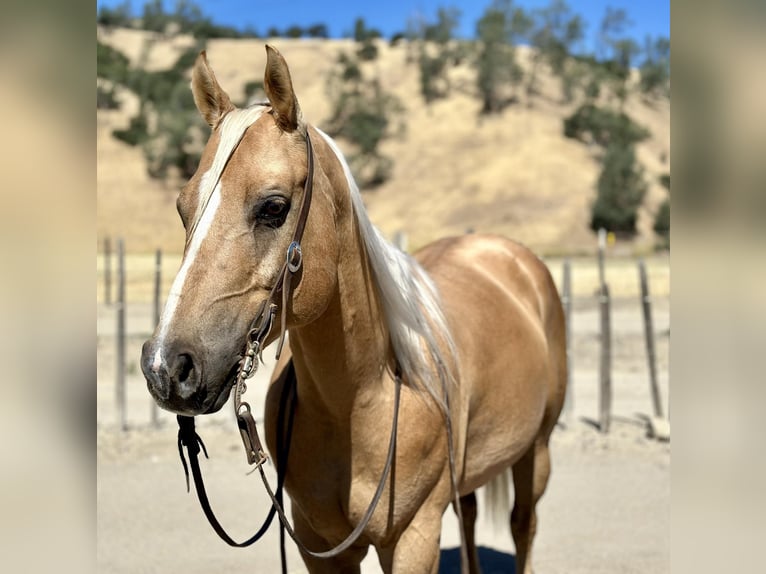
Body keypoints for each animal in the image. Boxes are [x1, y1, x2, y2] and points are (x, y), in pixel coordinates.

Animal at [140, 45, 567, 574]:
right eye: (183, 209)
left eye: (273, 207)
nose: (165, 367)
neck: (364, 397)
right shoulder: (317, 546)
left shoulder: (414, 539)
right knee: (468, 515)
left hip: (537, 451)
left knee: (522, 525)